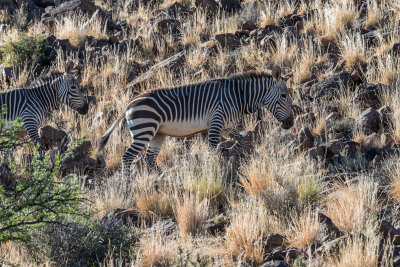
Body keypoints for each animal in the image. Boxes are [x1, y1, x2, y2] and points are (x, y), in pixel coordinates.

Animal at [98, 66, 294, 173]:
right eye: (284, 96)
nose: (291, 123)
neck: (238, 96)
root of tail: (129, 104)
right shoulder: (216, 121)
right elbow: (213, 148)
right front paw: (215, 169)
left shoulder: (226, 126)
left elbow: (241, 138)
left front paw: (229, 151)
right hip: (144, 131)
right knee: (127, 157)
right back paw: (127, 184)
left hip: (157, 134)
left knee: (150, 159)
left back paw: (161, 178)